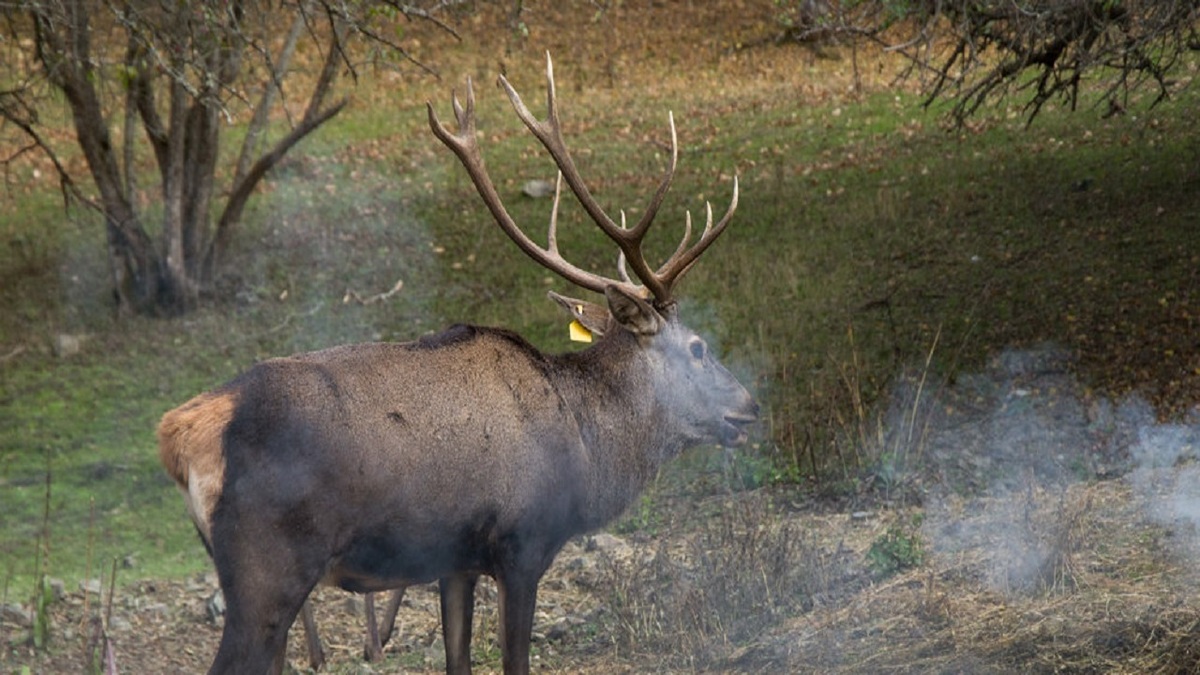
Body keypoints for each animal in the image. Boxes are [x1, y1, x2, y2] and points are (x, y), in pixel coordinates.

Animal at [157, 53, 758, 672]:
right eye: (698, 347)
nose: (750, 406)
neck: (587, 450)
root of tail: (180, 433)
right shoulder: (522, 544)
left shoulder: (454, 562)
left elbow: (458, 658)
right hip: (269, 568)